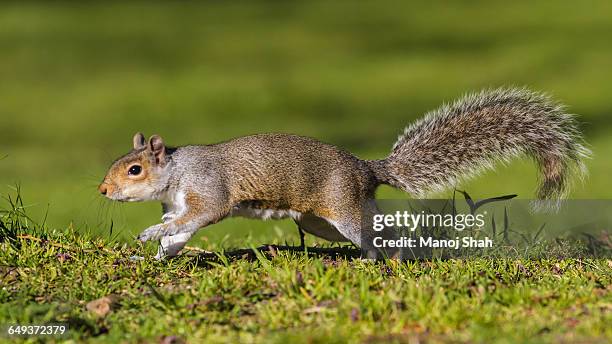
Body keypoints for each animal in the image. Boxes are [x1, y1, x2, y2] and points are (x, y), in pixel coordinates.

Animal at [99, 88, 588, 258]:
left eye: (135, 169)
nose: (103, 190)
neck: (176, 172)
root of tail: (367, 170)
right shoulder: (181, 204)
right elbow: (179, 233)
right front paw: (154, 255)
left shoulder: (208, 191)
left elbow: (199, 216)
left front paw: (148, 235)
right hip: (320, 222)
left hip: (343, 212)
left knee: (384, 236)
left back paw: (393, 258)